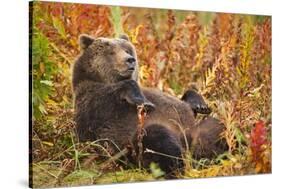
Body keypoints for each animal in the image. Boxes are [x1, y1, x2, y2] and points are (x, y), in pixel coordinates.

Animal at [71, 33, 226, 177]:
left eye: (127, 50)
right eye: (111, 52)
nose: (130, 60)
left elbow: (185, 101)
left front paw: (201, 105)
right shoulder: (95, 103)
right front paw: (144, 101)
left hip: (201, 129)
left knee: (217, 127)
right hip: (137, 145)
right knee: (157, 138)